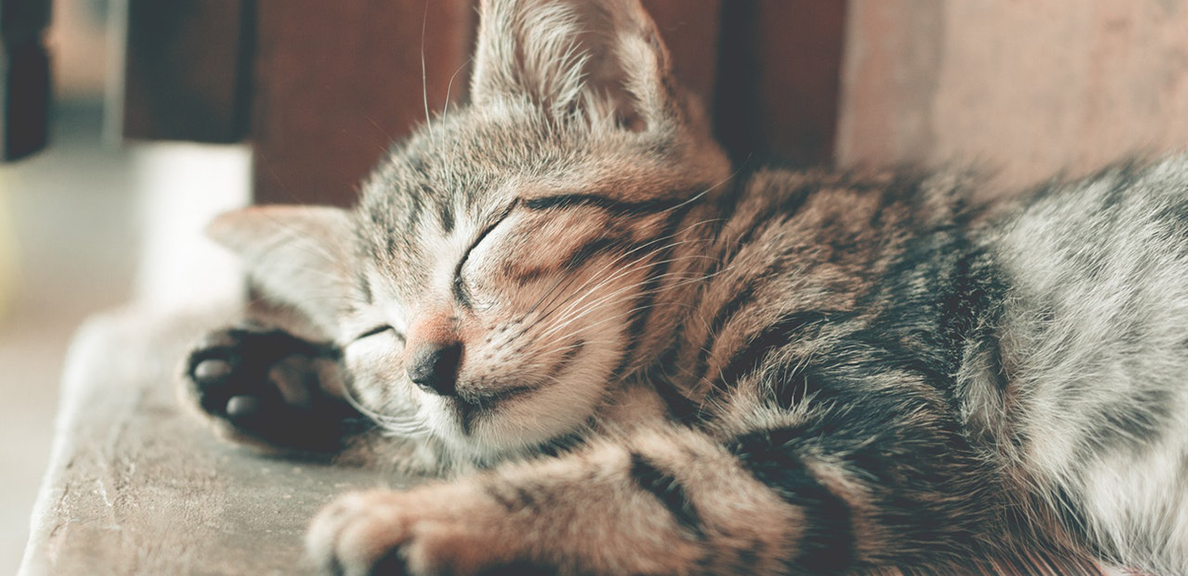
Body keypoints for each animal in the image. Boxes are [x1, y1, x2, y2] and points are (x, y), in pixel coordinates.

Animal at [178, 1, 1188, 574]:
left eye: (485, 238)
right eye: (375, 337)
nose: (428, 365)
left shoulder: (891, 438)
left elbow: (670, 480)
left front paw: (419, 517)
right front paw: (282, 373)